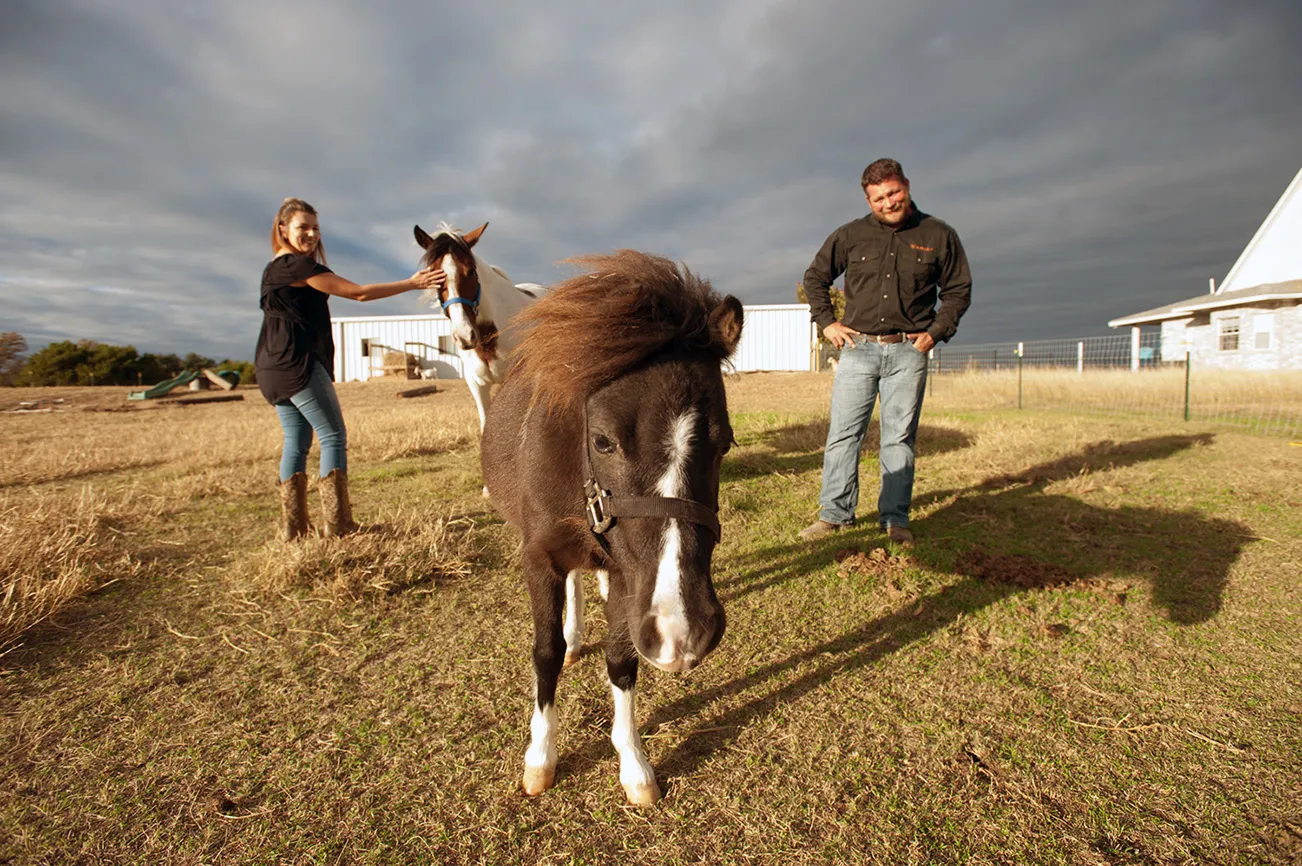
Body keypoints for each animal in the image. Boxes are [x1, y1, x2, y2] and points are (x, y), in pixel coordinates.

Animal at [479, 250, 744, 802]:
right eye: (602, 441)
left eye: (725, 442)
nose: (687, 630)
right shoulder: (539, 559)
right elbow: (546, 652)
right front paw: (540, 757)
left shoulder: (630, 575)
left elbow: (623, 660)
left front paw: (634, 764)